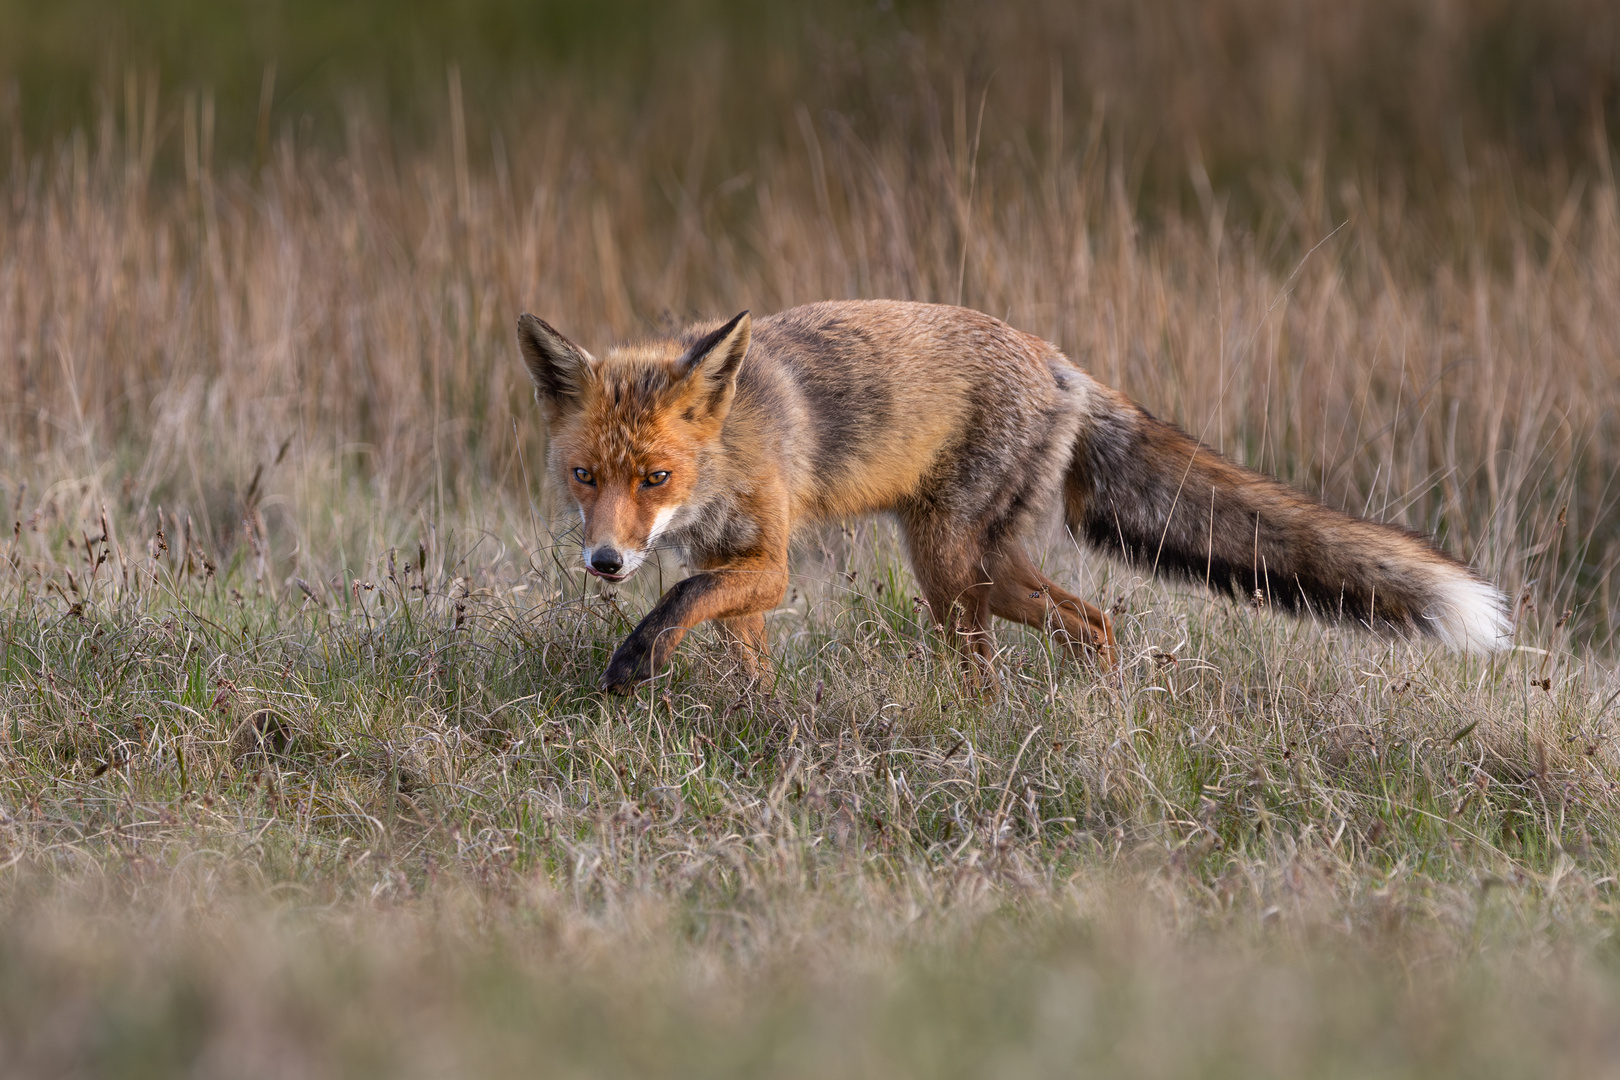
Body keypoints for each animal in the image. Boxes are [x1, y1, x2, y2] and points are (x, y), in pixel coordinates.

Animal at [515, 302, 1503, 693]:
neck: (722, 462)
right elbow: (729, 634)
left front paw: (635, 658)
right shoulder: (735, 565)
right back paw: (1103, 712)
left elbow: (682, 597)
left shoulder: (770, 563)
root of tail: (1064, 364)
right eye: (585, 477)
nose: (605, 560)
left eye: (655, 478)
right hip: (979, 568)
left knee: (1002, 662)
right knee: (1095, 622)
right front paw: (759, 712)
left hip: (952, 570)